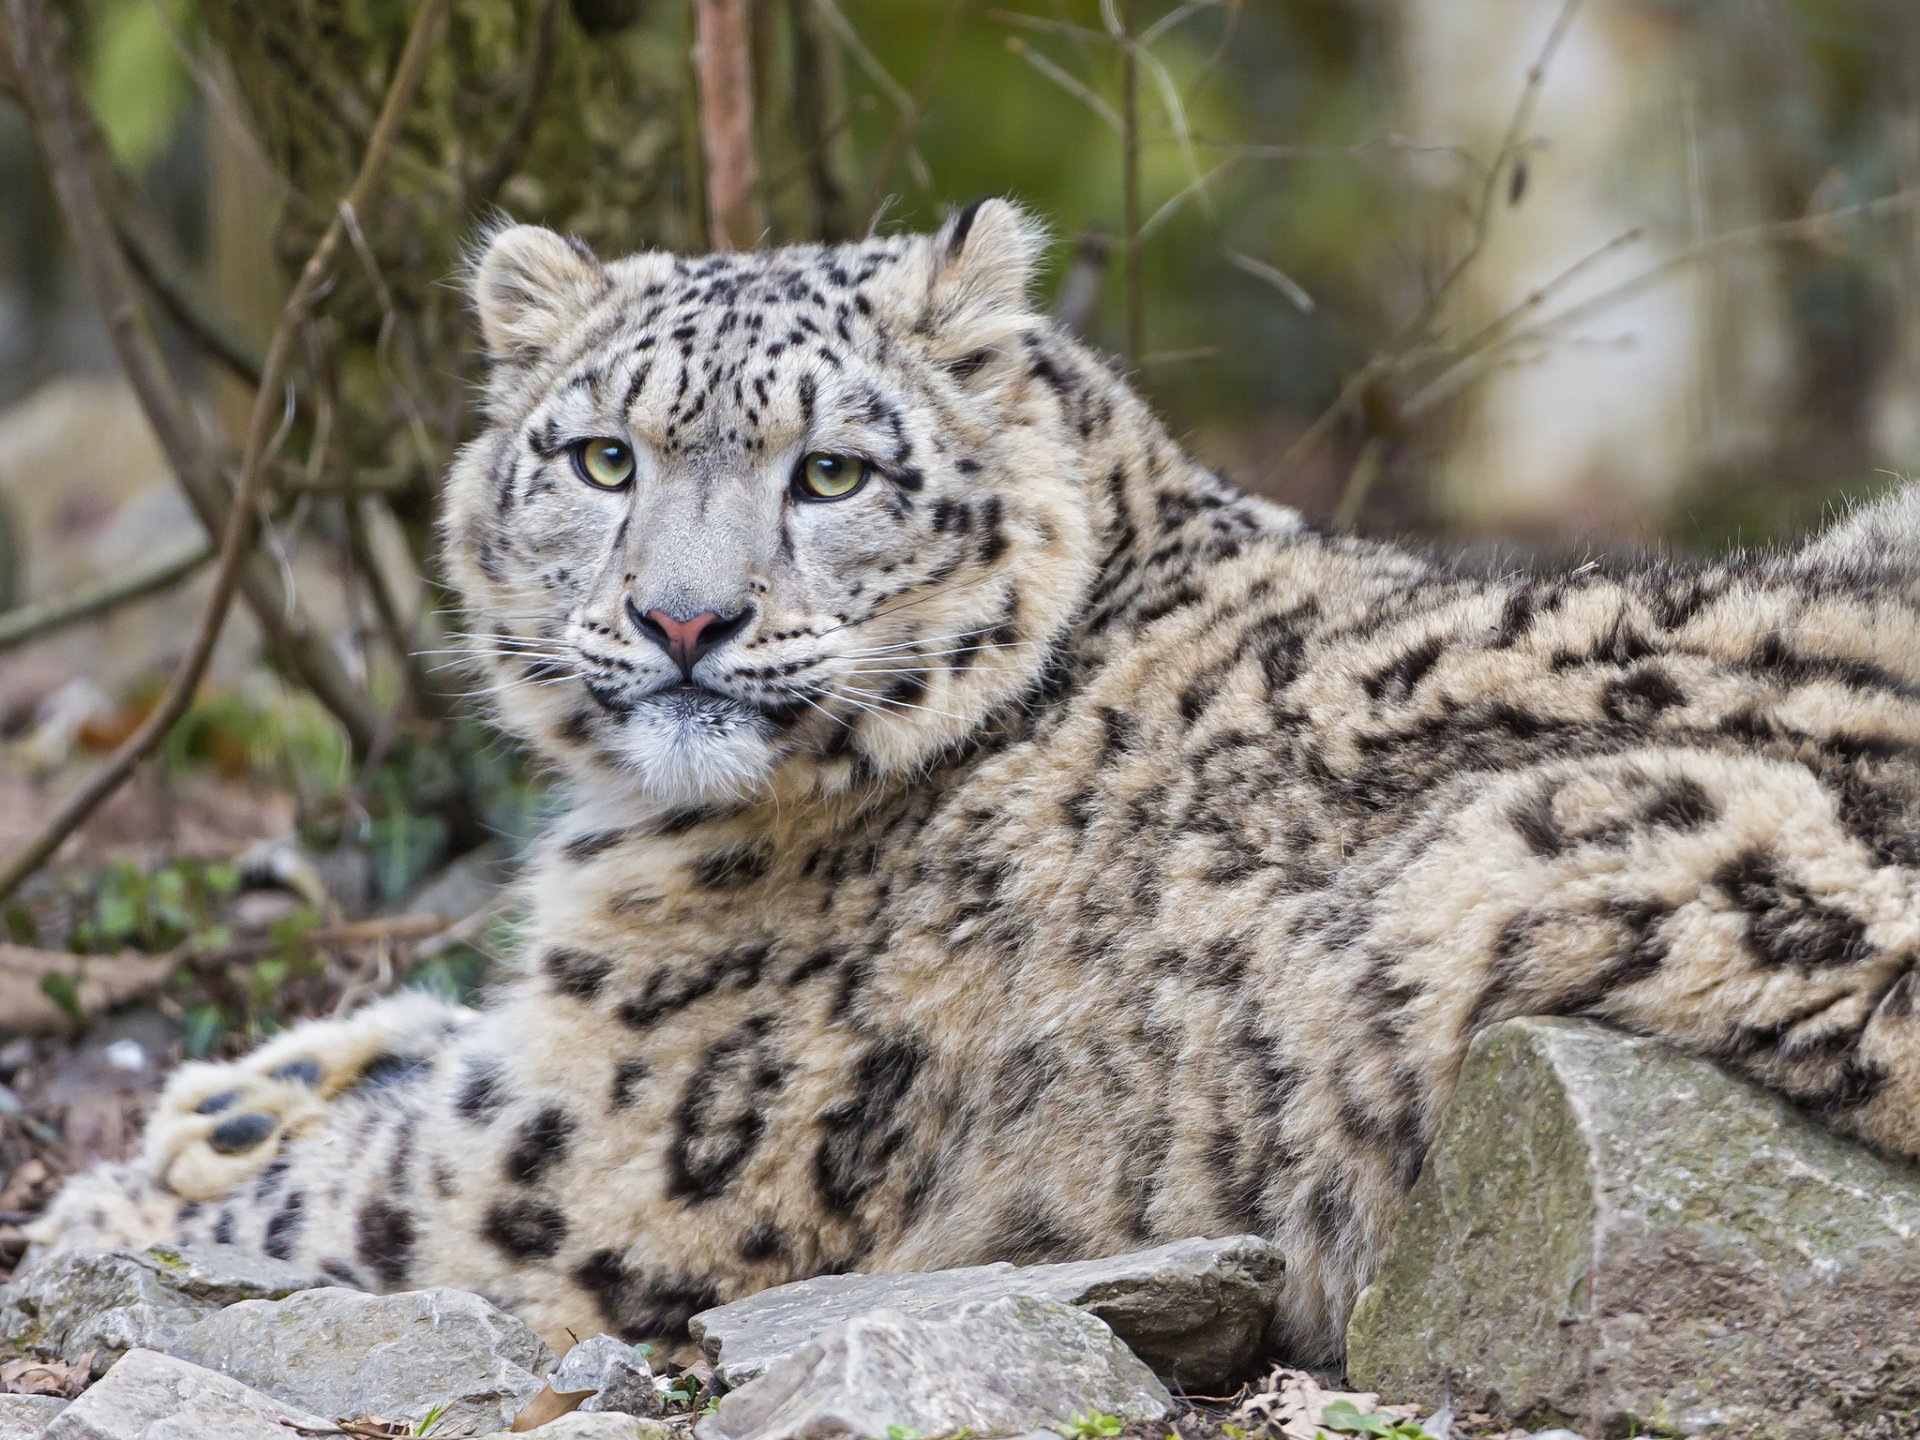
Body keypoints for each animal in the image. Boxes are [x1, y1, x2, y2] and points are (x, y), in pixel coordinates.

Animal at [28, 200, 1920, 1373]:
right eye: (604, 458)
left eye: (831, 473)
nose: (685, 620)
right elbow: (415, 1044)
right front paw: (222, 1103)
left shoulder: (600, 1162)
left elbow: (355, 1187)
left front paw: (100, 1209)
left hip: (1526, 861)